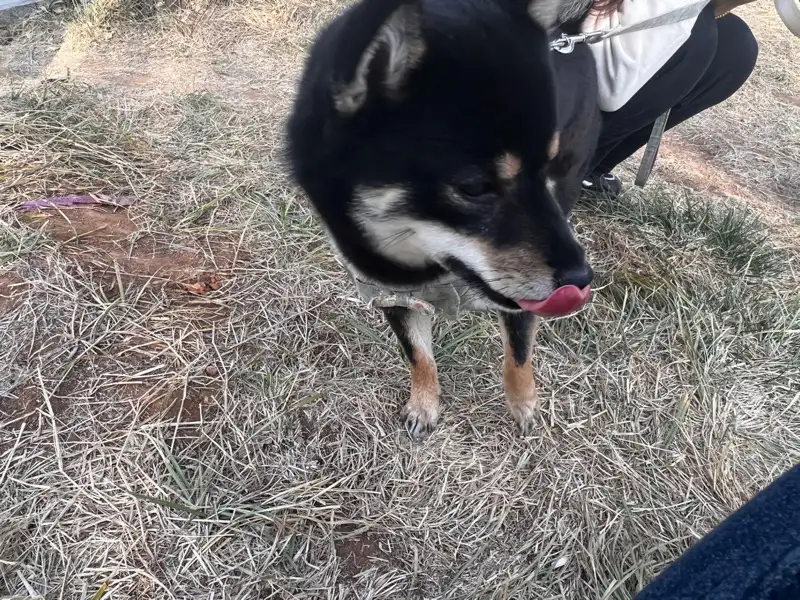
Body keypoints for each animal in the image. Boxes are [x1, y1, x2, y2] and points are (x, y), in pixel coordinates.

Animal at [288, 0, 600, 436]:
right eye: (474, 187)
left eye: (545, 169)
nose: (581, 278)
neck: (427, 271)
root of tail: (571, 33)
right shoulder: (393, 296)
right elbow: (419, 356)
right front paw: (424, 404)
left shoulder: (520, 301)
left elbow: (519, 352)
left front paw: (523, 403)